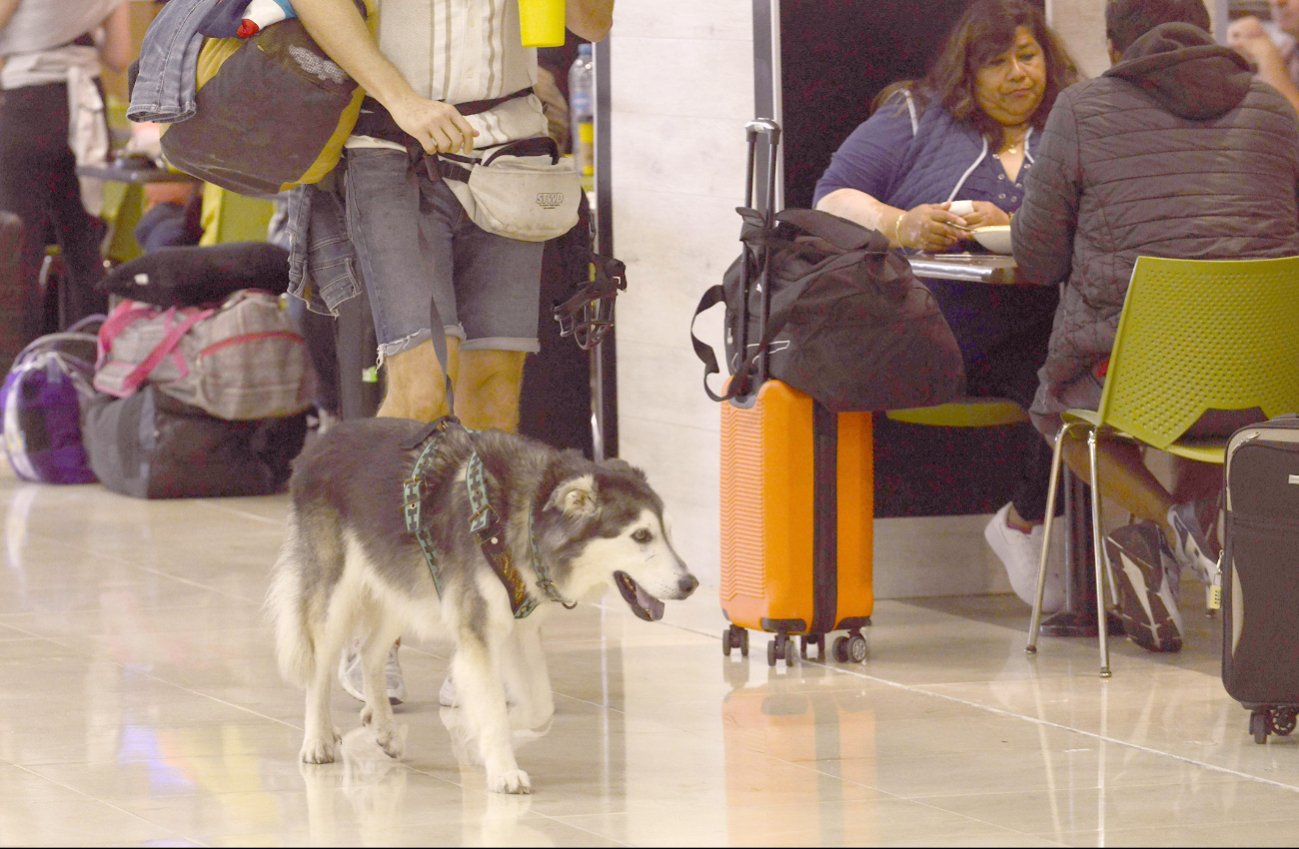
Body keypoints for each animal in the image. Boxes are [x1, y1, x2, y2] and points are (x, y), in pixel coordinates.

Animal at [266, 418, 701, 799]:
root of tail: (320, 441)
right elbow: (492, 705)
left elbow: (540, 707)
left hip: (398, 586)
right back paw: (318, 739)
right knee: (319, 667)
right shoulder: (478, 632)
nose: (690, 584)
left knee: (371, 654)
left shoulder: (519, 628)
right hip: (335, 593)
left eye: (668, 533)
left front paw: (477, 741)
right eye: (641, 536)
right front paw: (503, 770)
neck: (525, 517)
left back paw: (384, 728)